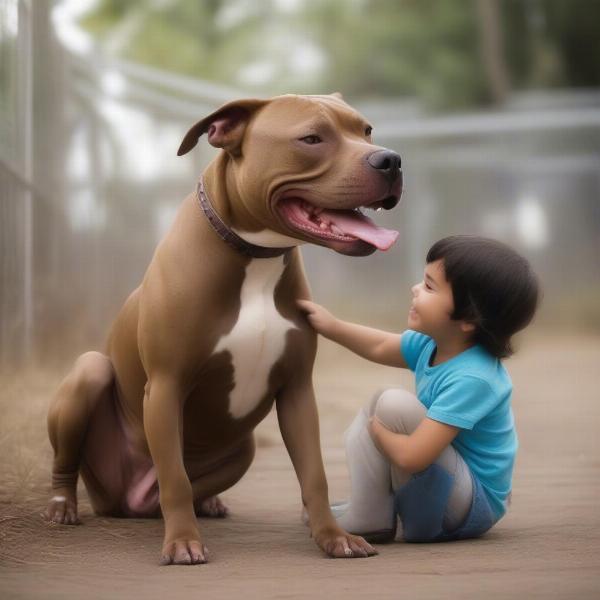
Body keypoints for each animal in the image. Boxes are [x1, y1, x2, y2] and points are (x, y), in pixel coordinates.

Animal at [43, 92, 404, 564]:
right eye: (311, 138)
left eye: (366, 131)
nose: (391, 160)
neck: (255, 253)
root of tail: (124, 501)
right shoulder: (166, 385)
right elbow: (174, 478)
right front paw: (182, 542)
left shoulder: (296, 390)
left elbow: (314, 473)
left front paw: (333, 536)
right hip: (88, 376)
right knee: (77, 462)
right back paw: (63, 506)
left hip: (244, 447)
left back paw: (209, 503)